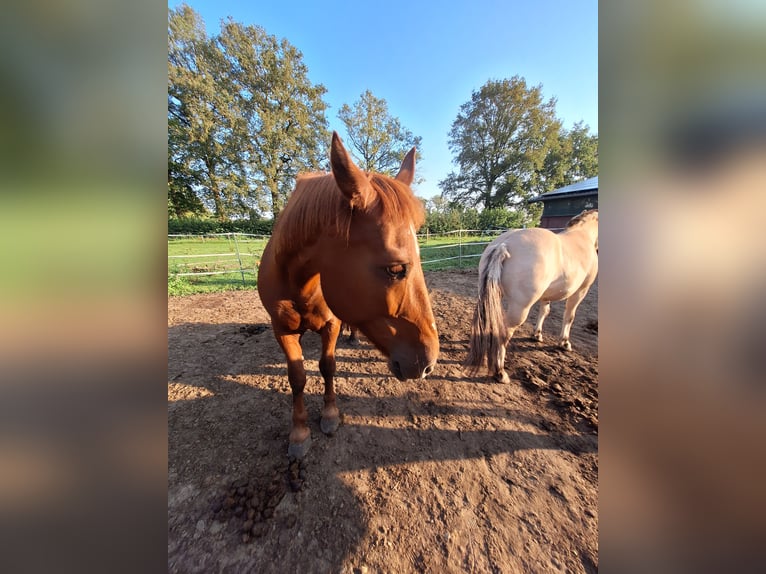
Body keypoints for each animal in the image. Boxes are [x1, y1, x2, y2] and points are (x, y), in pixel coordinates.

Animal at [258, 133, 438, 462]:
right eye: (395, 269)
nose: (428, 363)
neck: (299, 281)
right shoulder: (282, 330)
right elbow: (297, 377)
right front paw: (299, 433)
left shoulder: (331, 324)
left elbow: (327, 366)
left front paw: (330, 415)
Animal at [468, 209, 600, 384]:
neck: (582, 236)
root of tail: (504, 244)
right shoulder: (581, 291)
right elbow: (569, 316)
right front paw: (564, 342)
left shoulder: (546, 295)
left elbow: (544, 312)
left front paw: (537, 335)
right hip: (520, 308)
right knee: (503, 333)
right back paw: (500, 372)